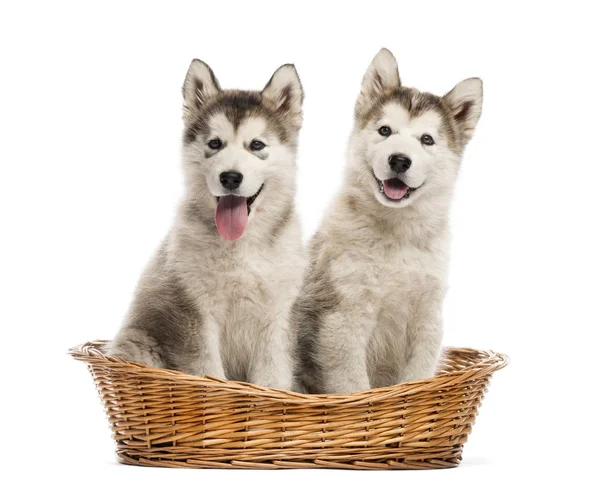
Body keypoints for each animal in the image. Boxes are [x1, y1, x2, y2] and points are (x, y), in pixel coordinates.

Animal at [108, 58, 304, 392]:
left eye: (256, 145)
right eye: (214, 143)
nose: (230, 177)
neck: (240, 247)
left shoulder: (276, 317)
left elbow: (273, 378)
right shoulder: (193, 313)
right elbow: (206, 371)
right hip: (138, 341)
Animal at [292, 48, 486, 392]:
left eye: (426, 140)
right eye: (385, 131)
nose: (399, 160)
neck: (397, 233)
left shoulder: (428, 317)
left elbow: (419, 376)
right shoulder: (345, 318)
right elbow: (354, 386)